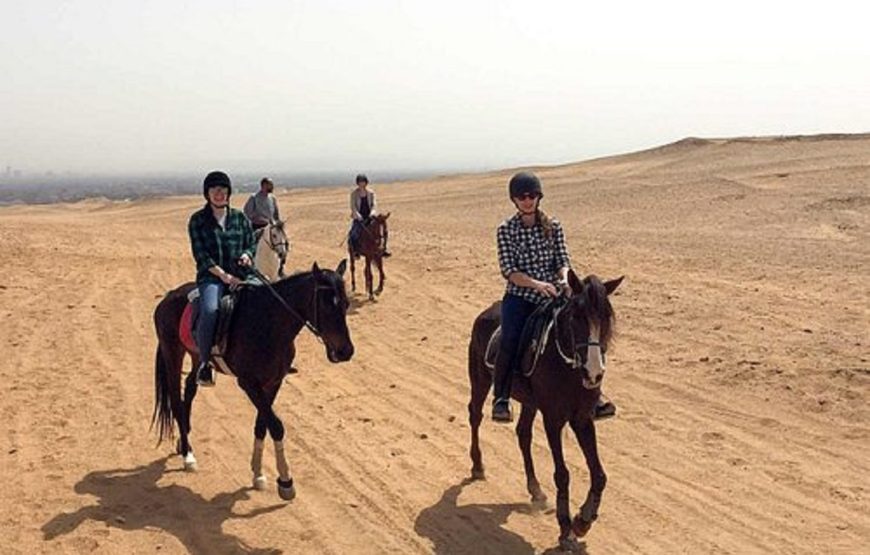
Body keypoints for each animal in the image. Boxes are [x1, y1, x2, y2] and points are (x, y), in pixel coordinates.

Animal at [152, 260, 354, 500]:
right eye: (326, 305)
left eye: (346, 304)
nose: (346, 352)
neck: (268, 324)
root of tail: (168, 297)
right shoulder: (249, 384)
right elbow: (276, 426)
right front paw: (286, 482)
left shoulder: (273, 382)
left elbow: (261, 425)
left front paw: (258, 473)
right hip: (172, 353)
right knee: (176, 400)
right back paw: (188, 454)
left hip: (196, 356)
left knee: (190, 389)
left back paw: (184, 440)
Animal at [470, 270, 620, 552]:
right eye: (575, 317)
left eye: (606, 317)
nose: (594, 373)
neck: (568, 367)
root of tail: (485, 313)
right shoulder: (553, 419)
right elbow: (562, 475)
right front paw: (566, 530)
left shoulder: (582, 419)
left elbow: (599, 475)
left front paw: (583, 520)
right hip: (480, 380)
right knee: (475, 416)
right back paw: (477, 465)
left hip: (530, 402)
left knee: (523, 434)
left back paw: (536, 490)